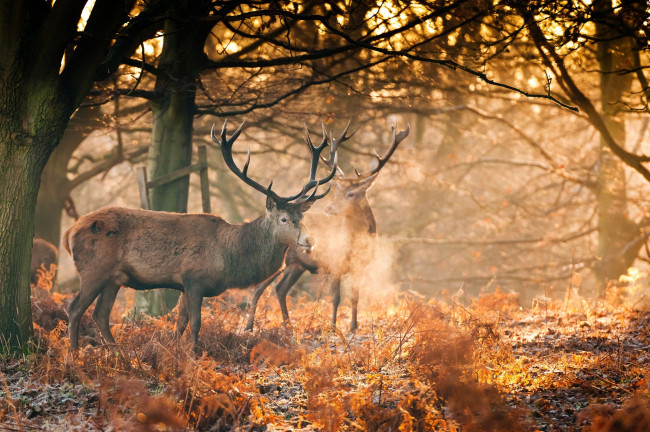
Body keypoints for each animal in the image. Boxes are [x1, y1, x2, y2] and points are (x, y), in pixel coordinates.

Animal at [62, 119, 340, 352]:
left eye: (302, 218)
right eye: (283, 218)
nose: (310, 240)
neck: (228, 257)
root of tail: (69, 232)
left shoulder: (183, 285)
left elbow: (180, 324)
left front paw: (173, 354)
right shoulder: (193, 278)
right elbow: (195, 324)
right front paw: (193, 357)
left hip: (114, 278)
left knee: (100, 314)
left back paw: (117, 353)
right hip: (93, 269)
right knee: (75, 309)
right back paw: (74, 356)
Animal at [246, 123, 408, 332]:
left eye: (351, 193)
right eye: (336, 192)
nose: (329, 208)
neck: (354, 245)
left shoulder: (360, 267)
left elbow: (355, 297)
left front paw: (353, 327)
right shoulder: (334, 264)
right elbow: (336, 298)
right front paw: (332, 327)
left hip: (296, 265)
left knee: (280, 289)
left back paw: (287, 324)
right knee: (258, 288)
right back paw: (249, 327)